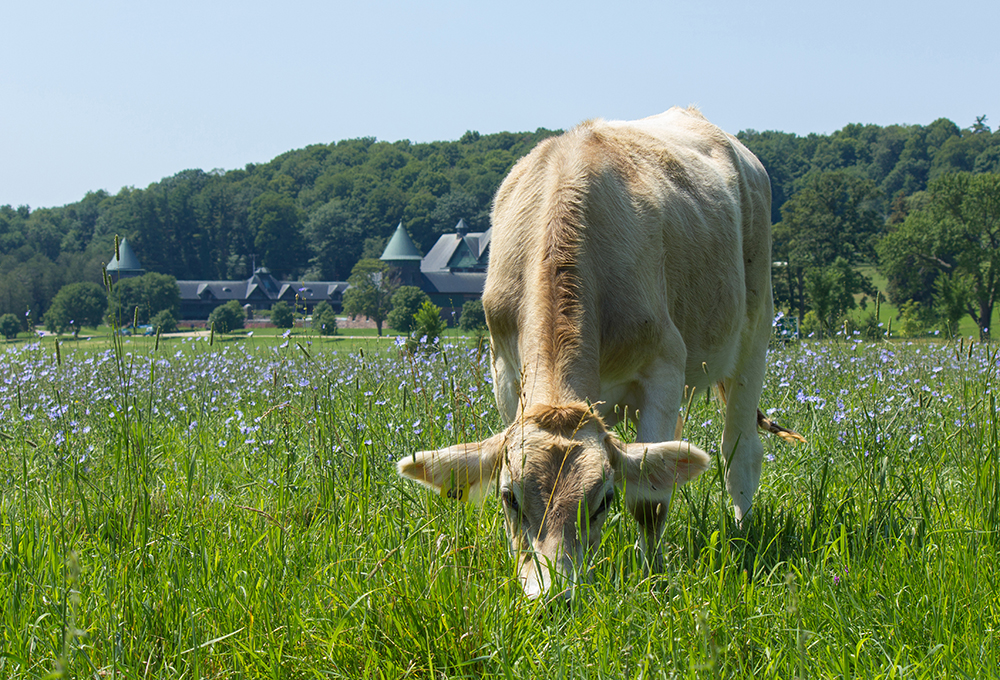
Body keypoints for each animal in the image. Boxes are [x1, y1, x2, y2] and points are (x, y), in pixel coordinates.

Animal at [394, 107, 800, 600]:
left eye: (604, 500)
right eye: (509, 498)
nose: (552, 596)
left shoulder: (663, 368)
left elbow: (649, 501)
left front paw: (652, 580)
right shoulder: (505, 371)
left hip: (755, 329)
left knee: (739, 450)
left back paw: (742, 534)